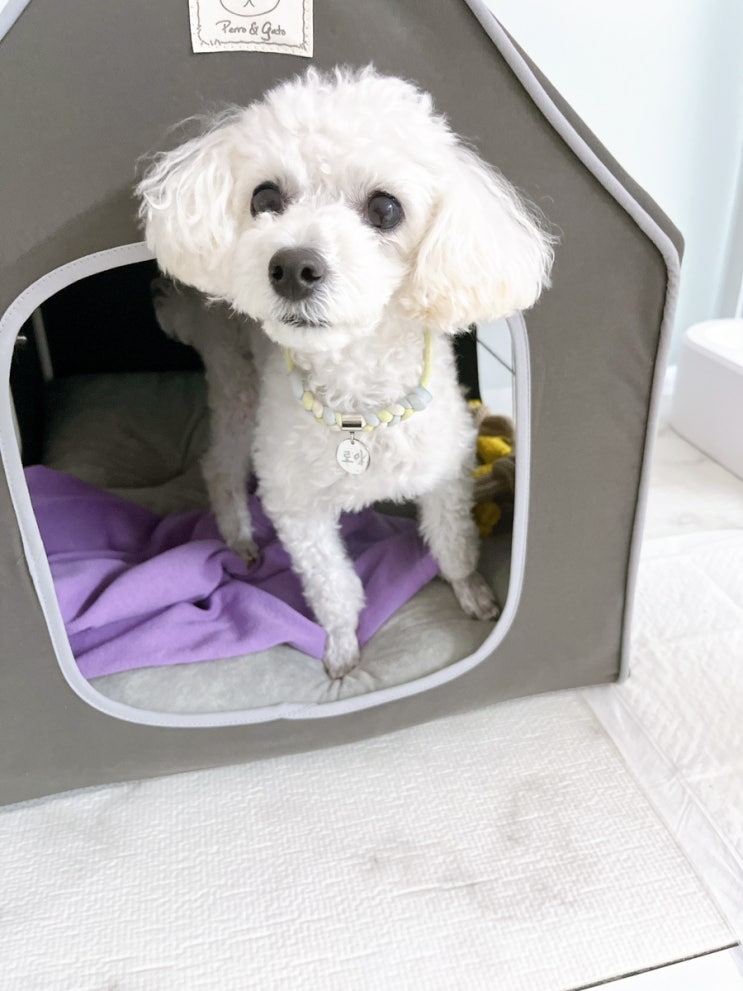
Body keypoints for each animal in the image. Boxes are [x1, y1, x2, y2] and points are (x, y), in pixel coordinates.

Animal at [137, 66, 553, 679]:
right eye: (265, 197)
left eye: (386, 209)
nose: (292, 267)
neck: (358, 399)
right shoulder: (296, 506)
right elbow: (334, 586)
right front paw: (341, 648)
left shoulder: (445, 472)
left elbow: (452, 541)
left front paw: (472, 591)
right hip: (238, 390)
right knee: (218, 466)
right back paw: (239, 538)